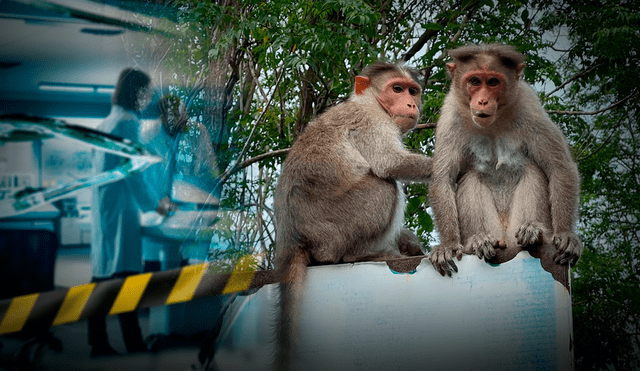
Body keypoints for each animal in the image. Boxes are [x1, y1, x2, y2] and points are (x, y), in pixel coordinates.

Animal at [272, 61, 432, 370]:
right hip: (337, 227)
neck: (371, 100)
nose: (411, 104)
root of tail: (293, 237)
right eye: (397, 88)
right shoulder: (371, 120)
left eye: (412, 91)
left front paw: (411, 242)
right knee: (384, 185)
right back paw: (363, 254)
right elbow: (390, 163)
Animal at [428, 42, 584, 276]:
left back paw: (534, 233)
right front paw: (448, 245)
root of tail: (505, 237)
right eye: (475, 81)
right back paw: (479, 240)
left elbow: (559, 167)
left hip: (515, 229)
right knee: (472, 178)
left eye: (493, 82)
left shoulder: (529, 107)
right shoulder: (450, 115)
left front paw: (566, 234)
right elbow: (443, 179)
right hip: (494, 229)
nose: (483, 101)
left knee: (532, 170)